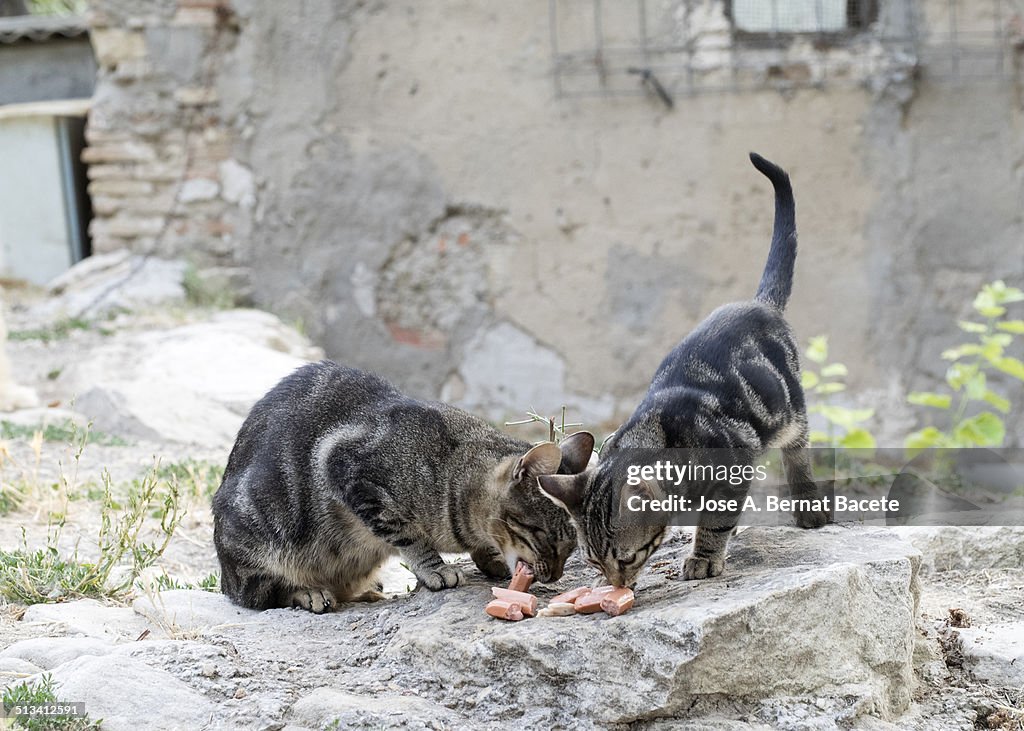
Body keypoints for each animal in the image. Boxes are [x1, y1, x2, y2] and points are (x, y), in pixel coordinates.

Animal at [212, 362, 598, 610]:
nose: (554, 577)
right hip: (258, 536)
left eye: (570, 547)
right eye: (544, 536)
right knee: (258, 593)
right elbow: (410, 537)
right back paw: (309, 592)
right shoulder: (350, 471)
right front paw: (437, 569)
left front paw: (488, 559)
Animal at [540, 152, 827, 585]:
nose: (617, 585)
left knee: (798, 450)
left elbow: (716, 518)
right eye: (592, 561)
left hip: (788, 409)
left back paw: (808, 504)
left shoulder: (734, 464)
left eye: (627, 557)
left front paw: (705, 555)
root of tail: (759, 303)